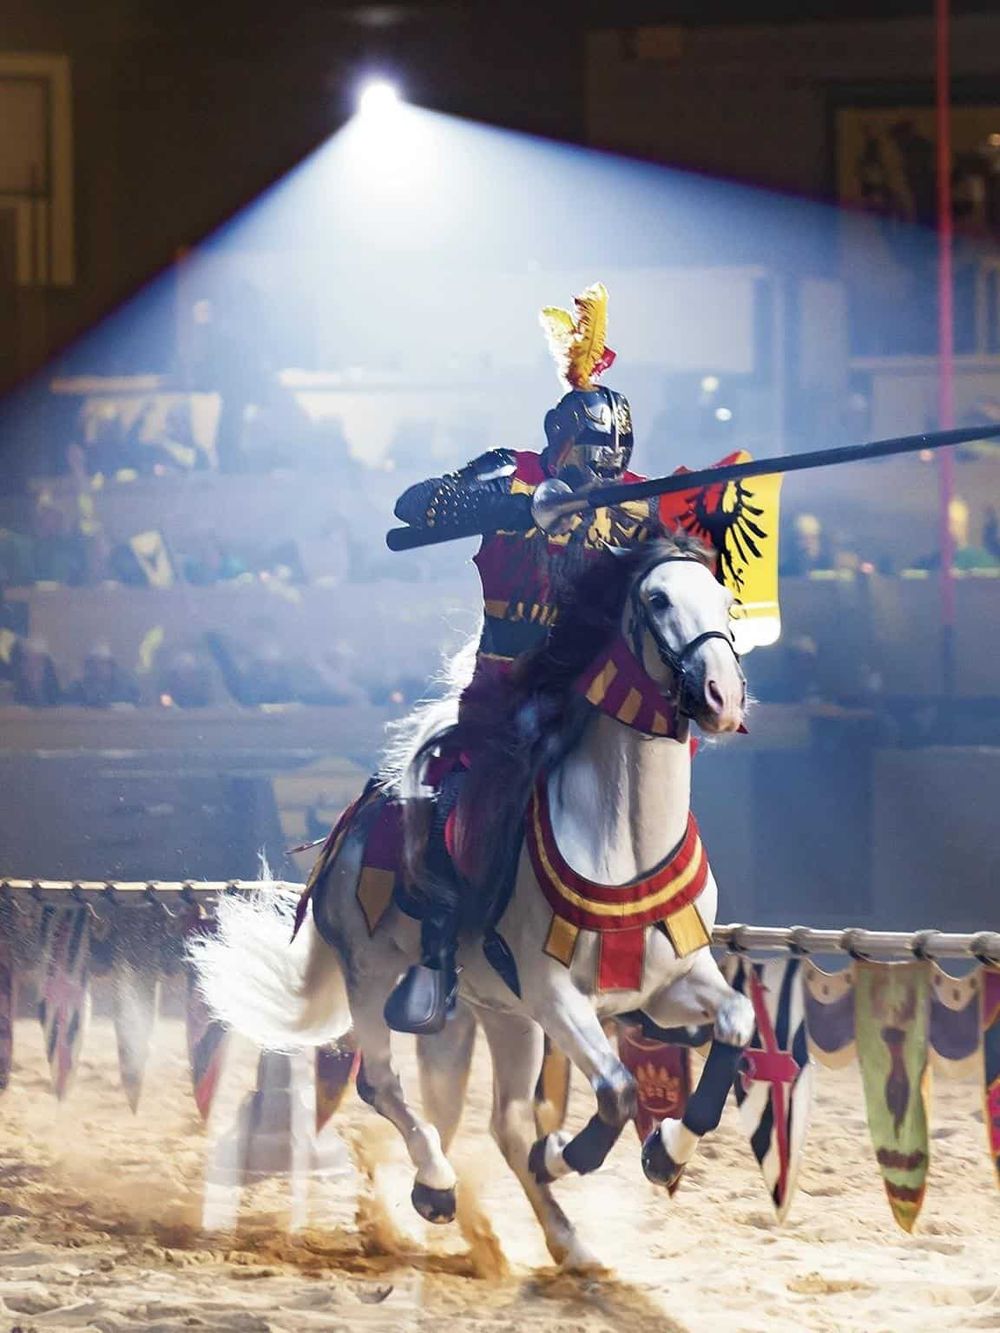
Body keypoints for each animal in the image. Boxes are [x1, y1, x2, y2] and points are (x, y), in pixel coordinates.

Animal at [191, 533, 756, 1268]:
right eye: (657, 599)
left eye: (726, 601)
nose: (723, 696)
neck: (622, 837)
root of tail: (351, 826)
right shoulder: (554, 992)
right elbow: (616, 1090)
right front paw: (568, 1153)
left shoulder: (669, 983)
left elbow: (737, 1022)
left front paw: (664, 1153)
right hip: (374, 974)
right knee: (384, 1084)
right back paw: (437, 1188)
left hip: (495, 1016)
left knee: (498, 1122)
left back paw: (564, 1241)